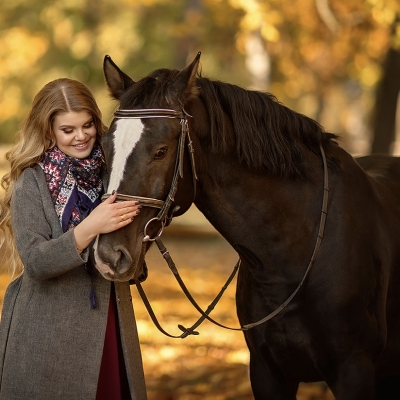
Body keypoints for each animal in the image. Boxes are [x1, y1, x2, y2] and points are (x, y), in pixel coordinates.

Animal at [94, 51, 400, 398]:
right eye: (104, 149)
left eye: (161, 151)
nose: (109, 256)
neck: (294, 251)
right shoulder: (267, 373)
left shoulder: (354, 371)